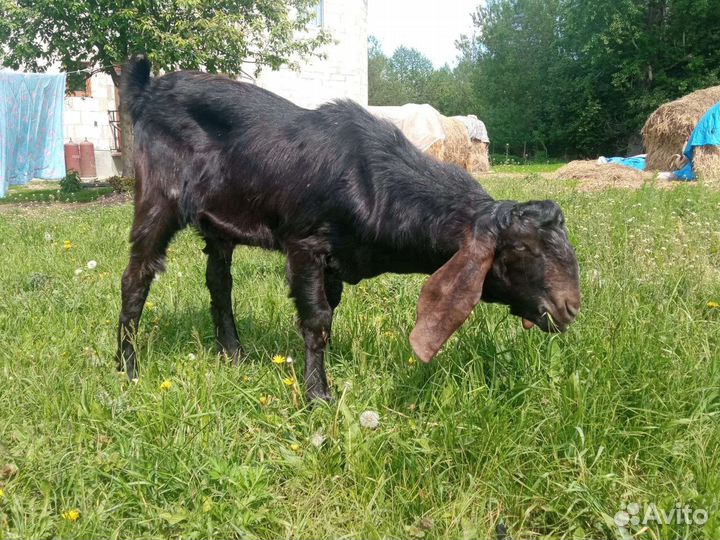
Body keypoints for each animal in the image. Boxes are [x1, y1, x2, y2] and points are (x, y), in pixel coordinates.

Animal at [116, 56, 581, 401]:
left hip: (218, 224)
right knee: (136, 276)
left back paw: (234, 354)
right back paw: (128, 368)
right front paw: (319, 395)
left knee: (219, 281)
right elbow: (317, 317)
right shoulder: (305, 244)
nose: (570, 307)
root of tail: (146, 90)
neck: (372, 179)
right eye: (520, 249)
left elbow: (330, 310)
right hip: (158, 198)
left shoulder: (336, 260)